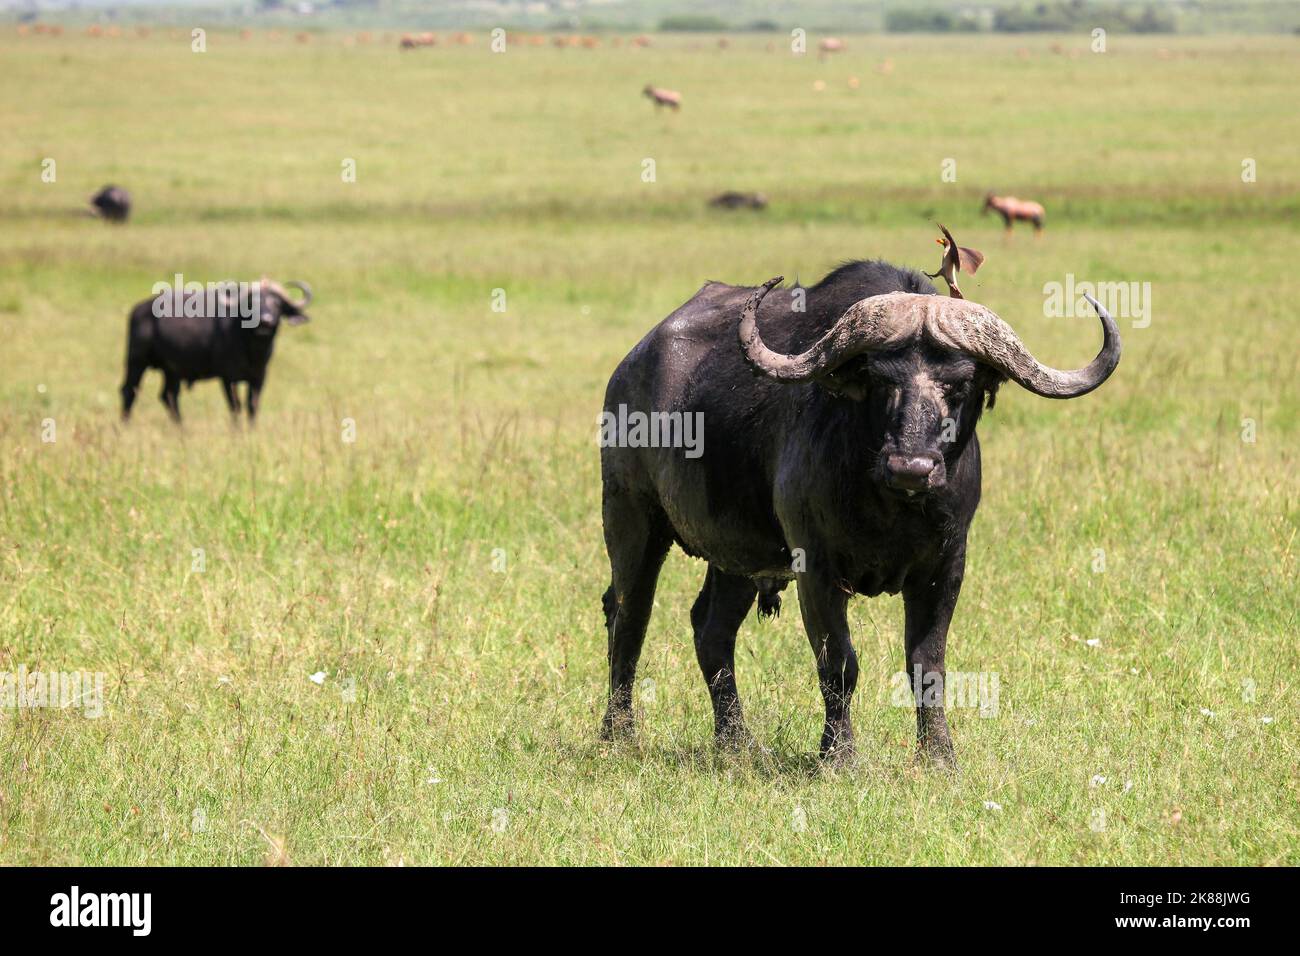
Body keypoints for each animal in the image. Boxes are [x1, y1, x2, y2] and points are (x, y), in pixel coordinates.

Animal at [122, 278, 314, 424]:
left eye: (277, 303)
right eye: (251, 303)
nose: (265, 321)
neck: (252, 350)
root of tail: (138, 310)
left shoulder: (259, 376)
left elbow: (252, 405)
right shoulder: (227, 377)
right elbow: (235, 406)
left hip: (172, 370)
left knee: (169, 396)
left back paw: (182, 429)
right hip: (136, 361)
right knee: (129, 391)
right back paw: (126, 425)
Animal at [598, 260, 1118, 770]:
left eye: (960, 384)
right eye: (881, 380)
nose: (911, 467)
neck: (891, 508)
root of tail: (632, 365)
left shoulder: (946, 567)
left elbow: (927, 664)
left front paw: (939, 756)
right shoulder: (816, 567)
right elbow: (839, 662)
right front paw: (838, 755)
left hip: (737, 558)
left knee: (711, 631)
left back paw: (737, 744)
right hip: (631, 518)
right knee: (628, 618)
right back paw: (618, 734)